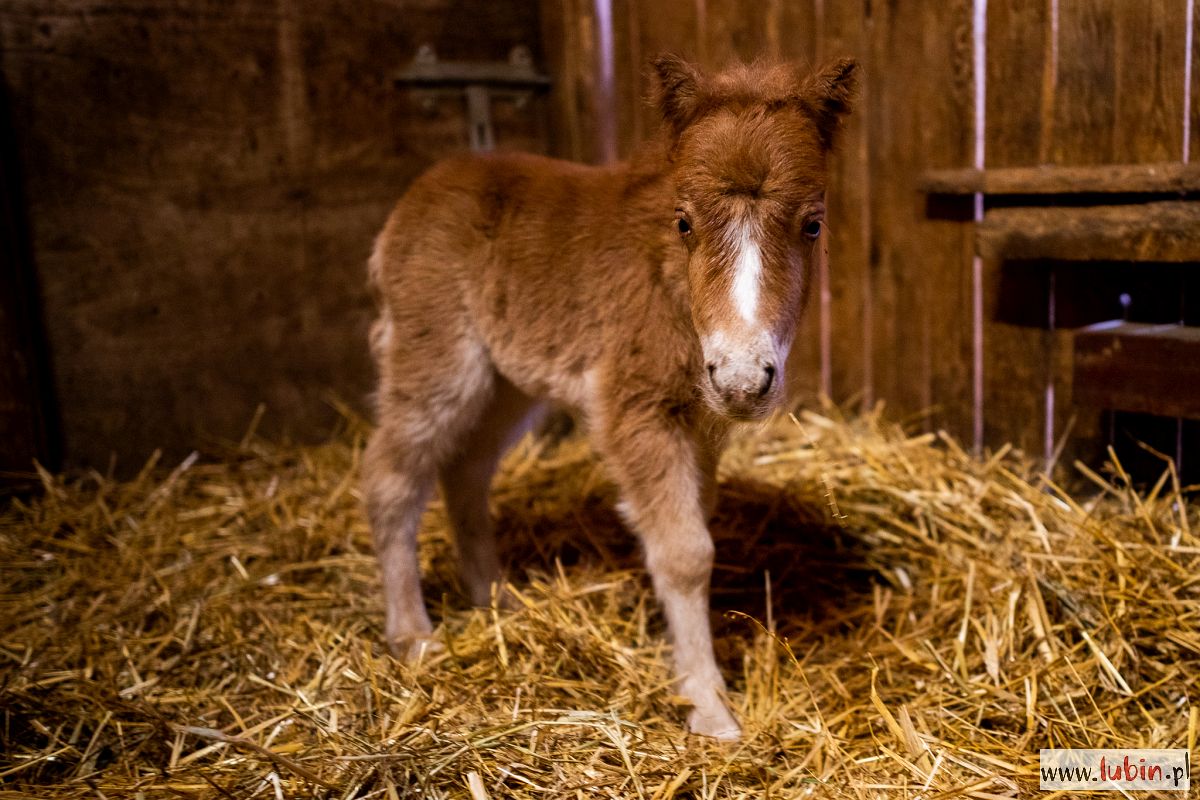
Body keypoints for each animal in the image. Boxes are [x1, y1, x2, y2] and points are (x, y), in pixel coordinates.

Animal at [360, 56, 859, 743]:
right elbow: (684, 552)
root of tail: (414, 199)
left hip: (507, 383)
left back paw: (496, 599)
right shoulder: (636, 408)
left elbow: (691, 526)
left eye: (813, 224)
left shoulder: (699, 423)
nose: (740, 379)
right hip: (436, 361)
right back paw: (413, 636)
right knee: (392, 479)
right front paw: (707, 707)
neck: (668, 284)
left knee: (466, 471)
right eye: (684, 222)